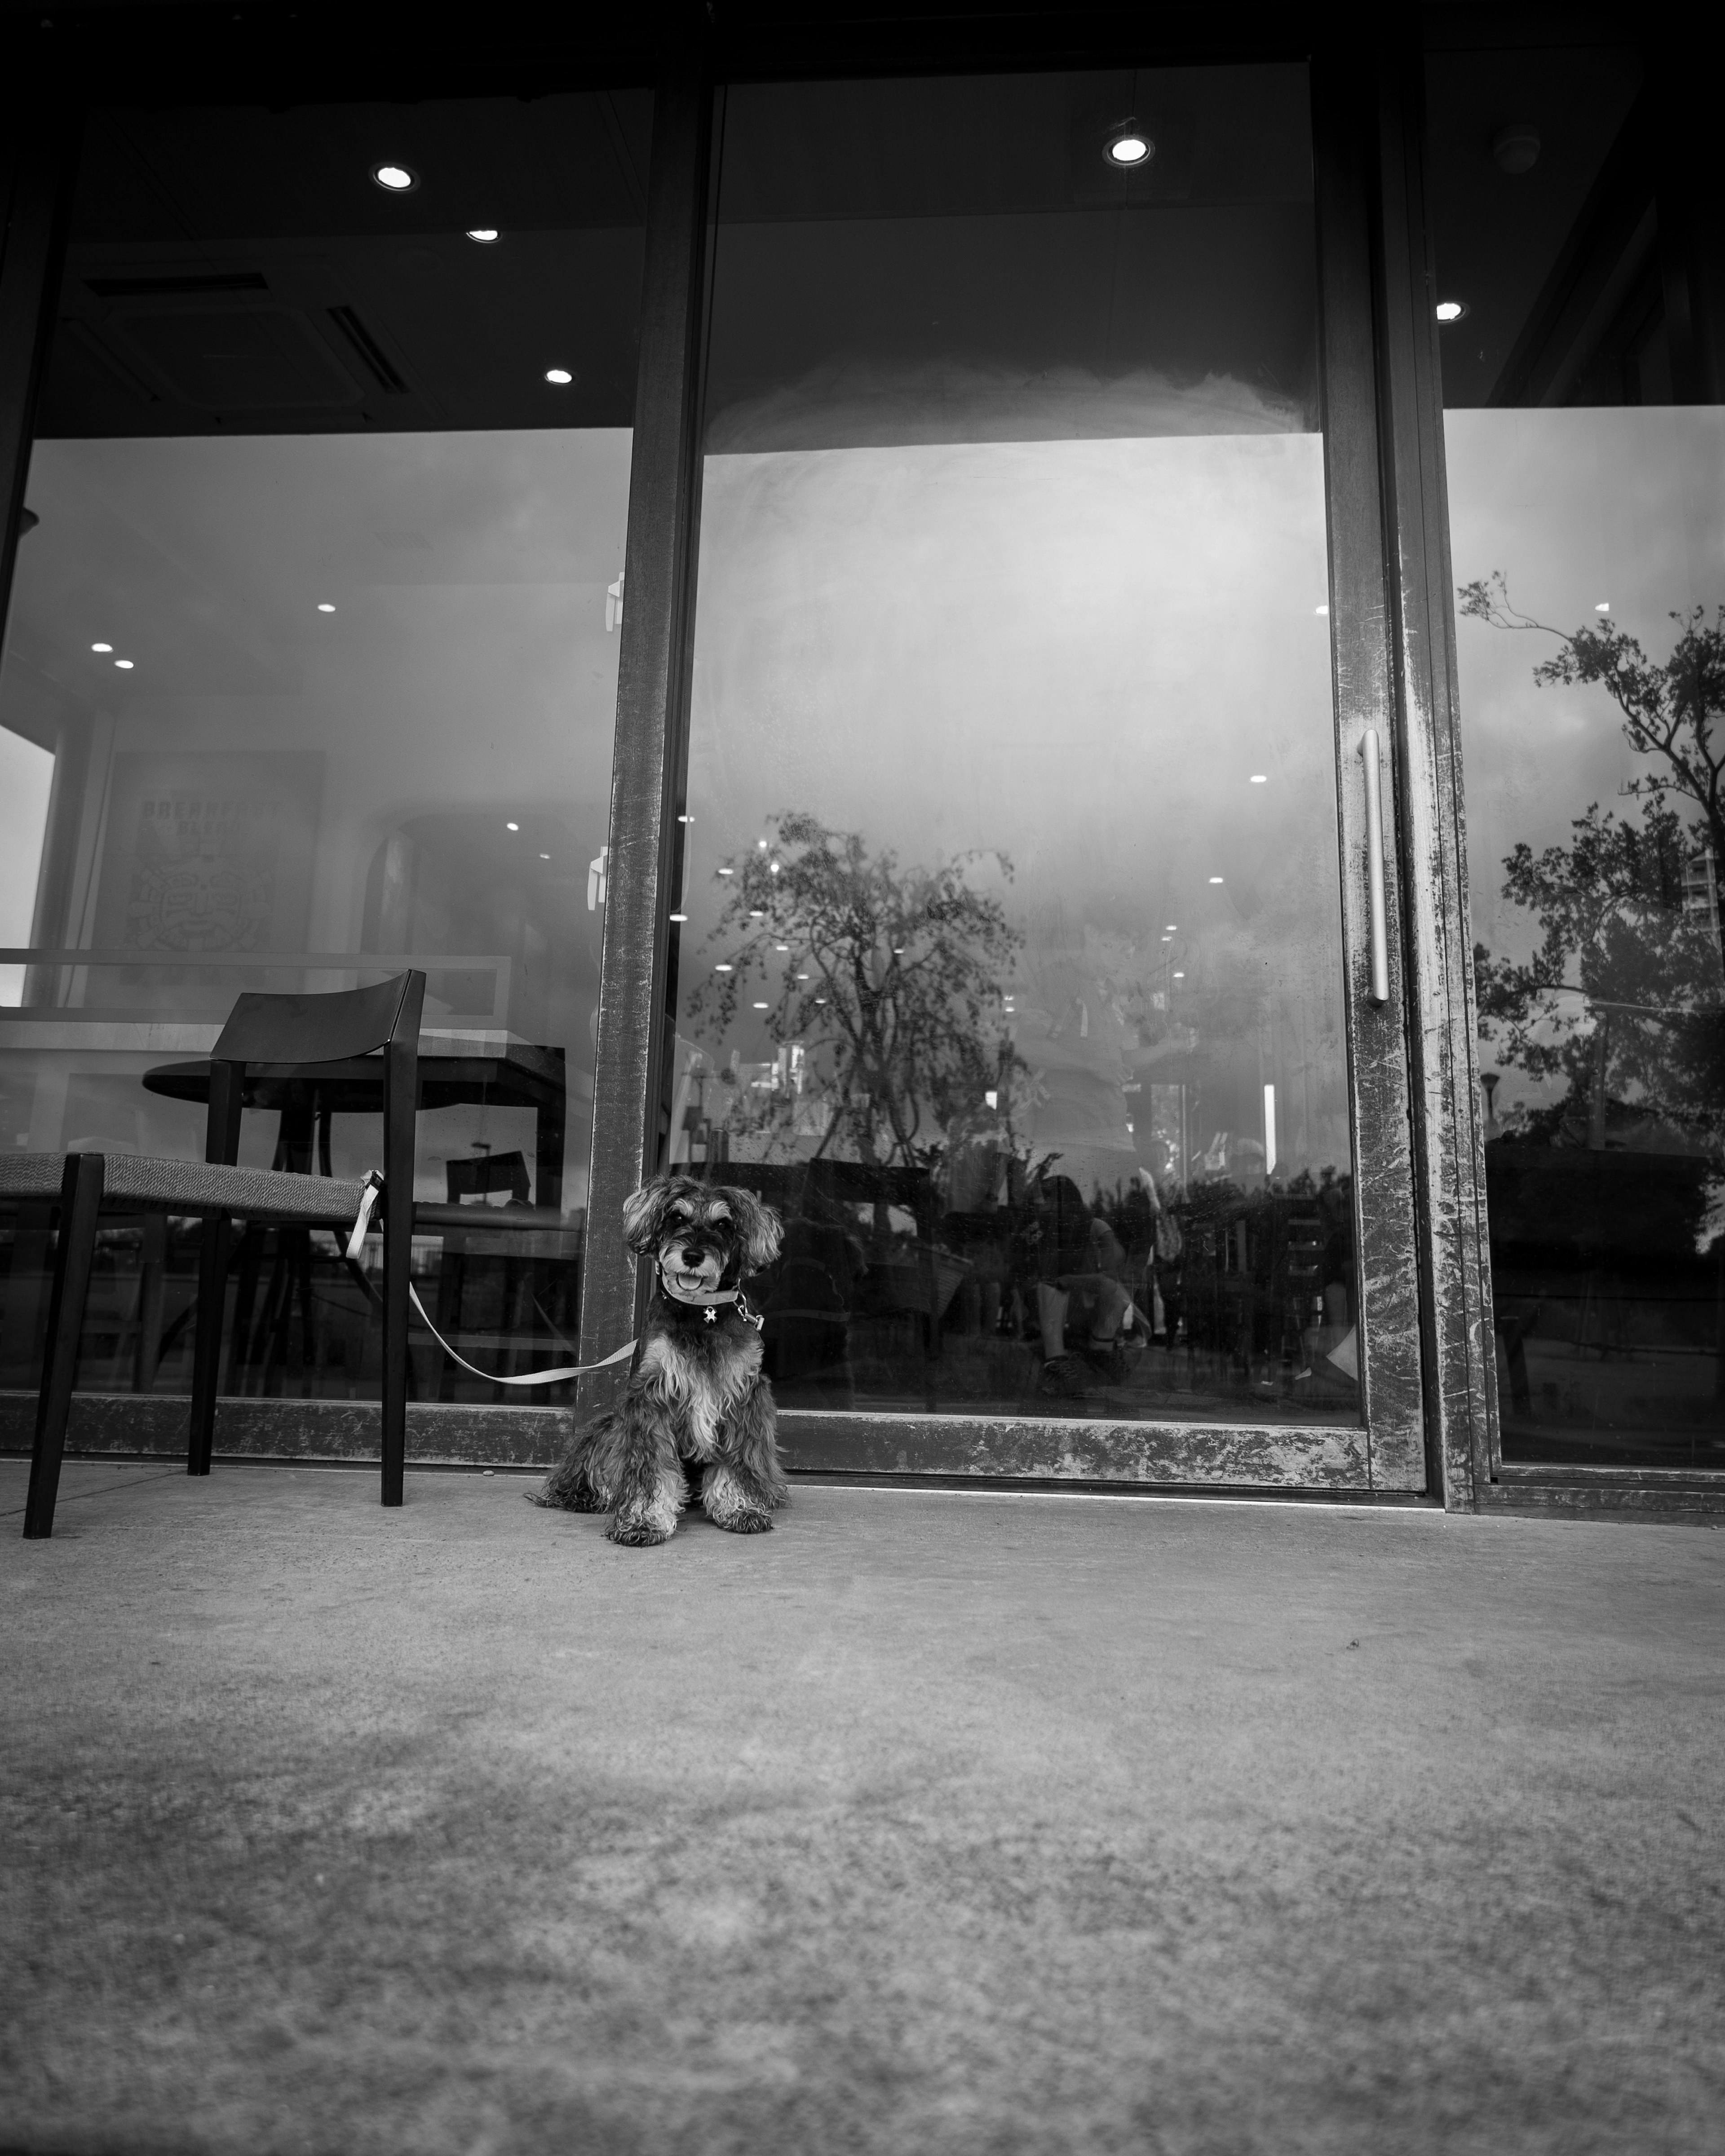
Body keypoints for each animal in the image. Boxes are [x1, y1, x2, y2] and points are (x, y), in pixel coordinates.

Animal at [532, 1181, 789, 1552]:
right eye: (676, 1217)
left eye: (724, 1225)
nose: (693, 1256)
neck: (700, 1312)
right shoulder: (651, 1398)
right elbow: (648, 1468)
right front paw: (643, 1521)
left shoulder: (744, 1399)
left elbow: (739, 1460)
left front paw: (741, 1508)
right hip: (608, 1427)